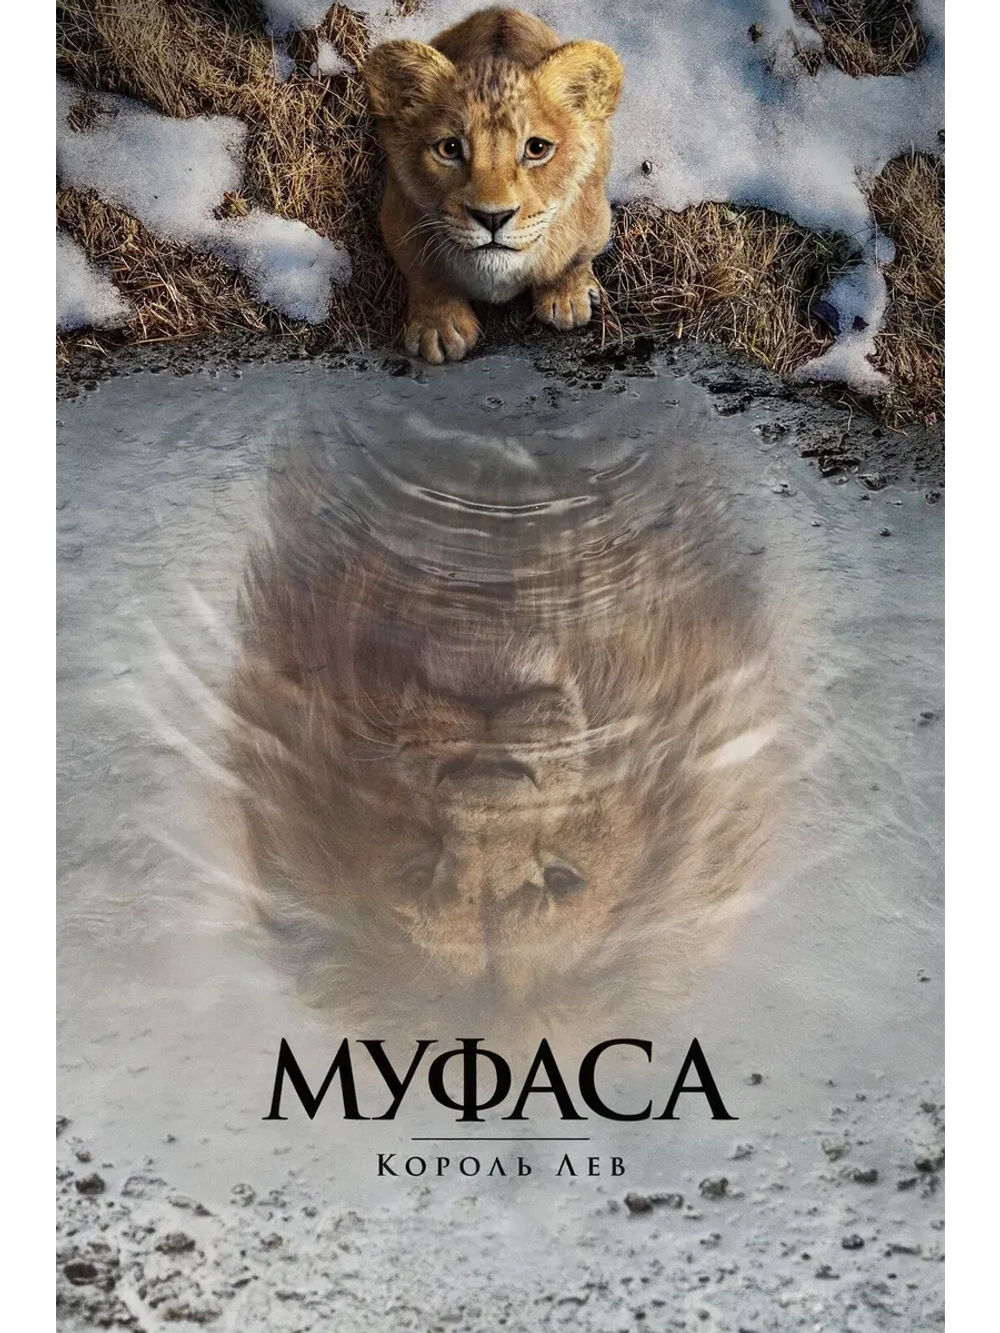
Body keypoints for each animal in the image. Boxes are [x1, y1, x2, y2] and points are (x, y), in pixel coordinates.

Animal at [362, 7, 624, 364]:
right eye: (449, 149)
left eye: (537, 148)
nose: (492, 217)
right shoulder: (397, 218)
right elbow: (424, 274)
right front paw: (439, 327)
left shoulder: (595, 217)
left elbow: (575, 260)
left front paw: (567, 299)